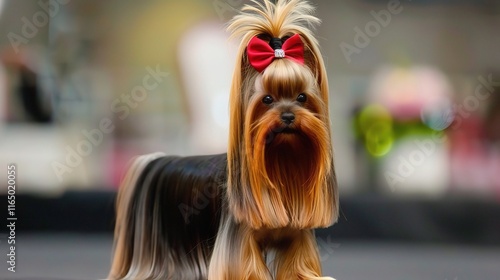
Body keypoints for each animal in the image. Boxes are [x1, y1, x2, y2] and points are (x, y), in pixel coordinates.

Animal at [108, 1, 336, 278]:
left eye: (302, 97)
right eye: (267, 99)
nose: (288, 116)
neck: (281, 164)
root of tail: (155, 162)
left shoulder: (297, 236)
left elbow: (298, 265)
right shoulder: (238, 238)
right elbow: (245, 266)